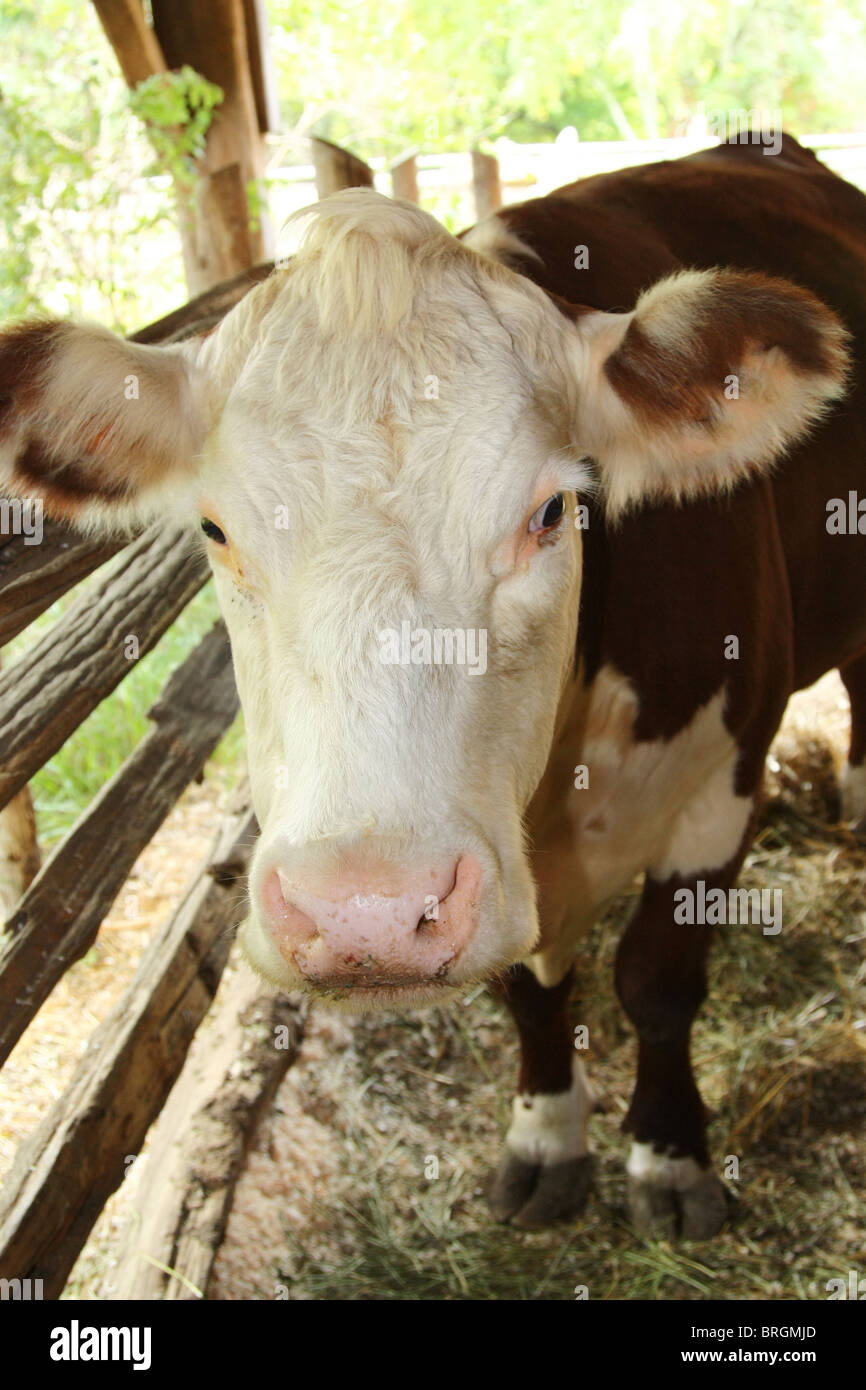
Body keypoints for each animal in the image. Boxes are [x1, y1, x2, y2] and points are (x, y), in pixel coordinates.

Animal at [1, 132, 862, 1241]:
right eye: (216, 529)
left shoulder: (722, 778)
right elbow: (533, 992)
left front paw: (669, 1157)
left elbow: (658, 980)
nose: (366, 912)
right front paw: (546, 1137)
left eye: (552, 509)